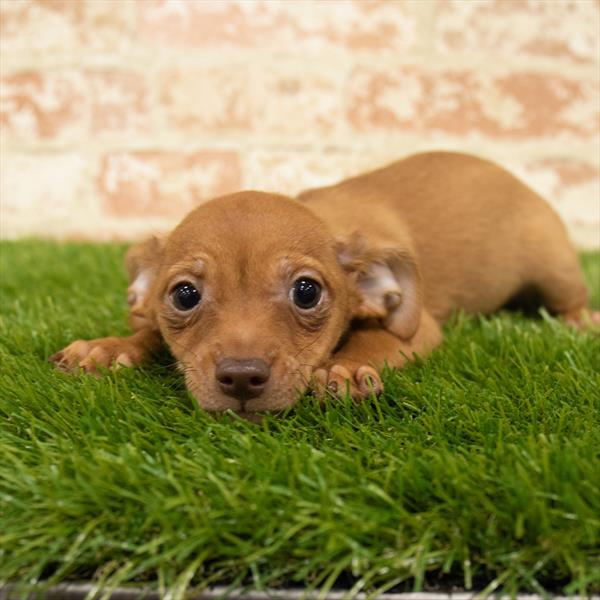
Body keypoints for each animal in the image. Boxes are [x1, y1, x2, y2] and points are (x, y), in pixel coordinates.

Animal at [51, 154, 596, 418]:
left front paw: (346, 368)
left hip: (553, 266)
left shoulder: (417, 328)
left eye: (306, 292)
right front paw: (109, 347)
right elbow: (146, 333)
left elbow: (375, 336)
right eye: (185, 295)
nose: (242, 379)